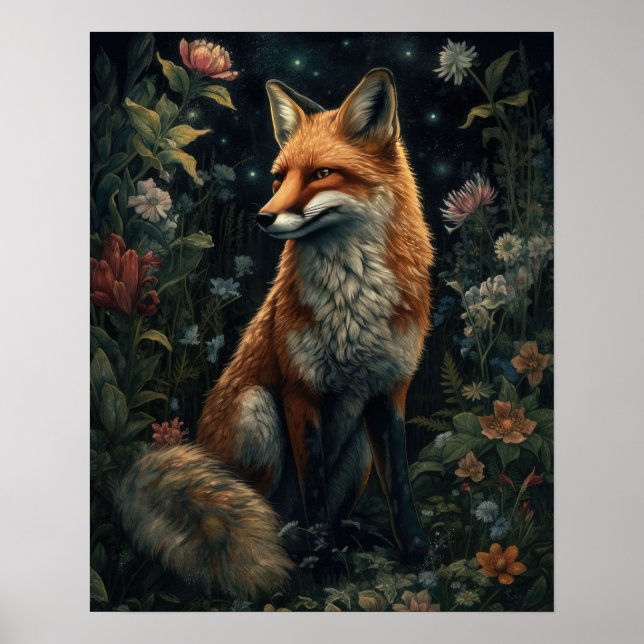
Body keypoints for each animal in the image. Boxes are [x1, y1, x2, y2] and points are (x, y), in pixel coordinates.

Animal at [118, 68, 434, 601]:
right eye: (278, 177)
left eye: (322, 173)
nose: (264, 217)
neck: (354, 300)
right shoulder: (297, 390)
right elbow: (314, 494)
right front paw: (325, 565)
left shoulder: (390, 391)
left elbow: (401, 489)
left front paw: (414, 554)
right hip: (257, 410)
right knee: (270, 517)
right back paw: (290, 552)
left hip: (358, 448)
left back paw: (348, 537)